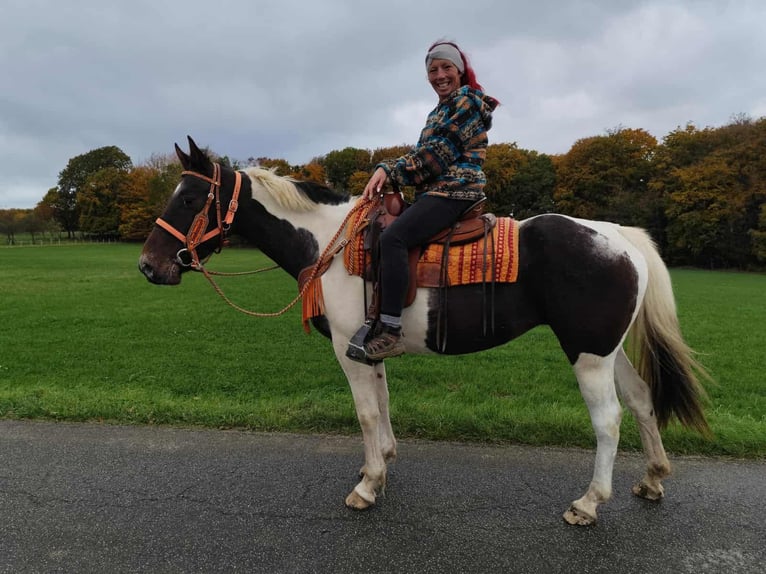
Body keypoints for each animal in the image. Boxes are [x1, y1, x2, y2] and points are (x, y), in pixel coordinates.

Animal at [139, 137, 710, 526]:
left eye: (189, 200)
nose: (148, 266)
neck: (329, 243)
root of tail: (616, 234)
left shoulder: (347, 350)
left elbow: (366, 413)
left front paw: (368, 486)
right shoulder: (369, 349)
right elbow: (384, 405)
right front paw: (381, 466)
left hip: (587, 354)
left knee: (609, 420)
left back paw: (589, 503)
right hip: (608, 350)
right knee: (641, 400)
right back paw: (652, 479)